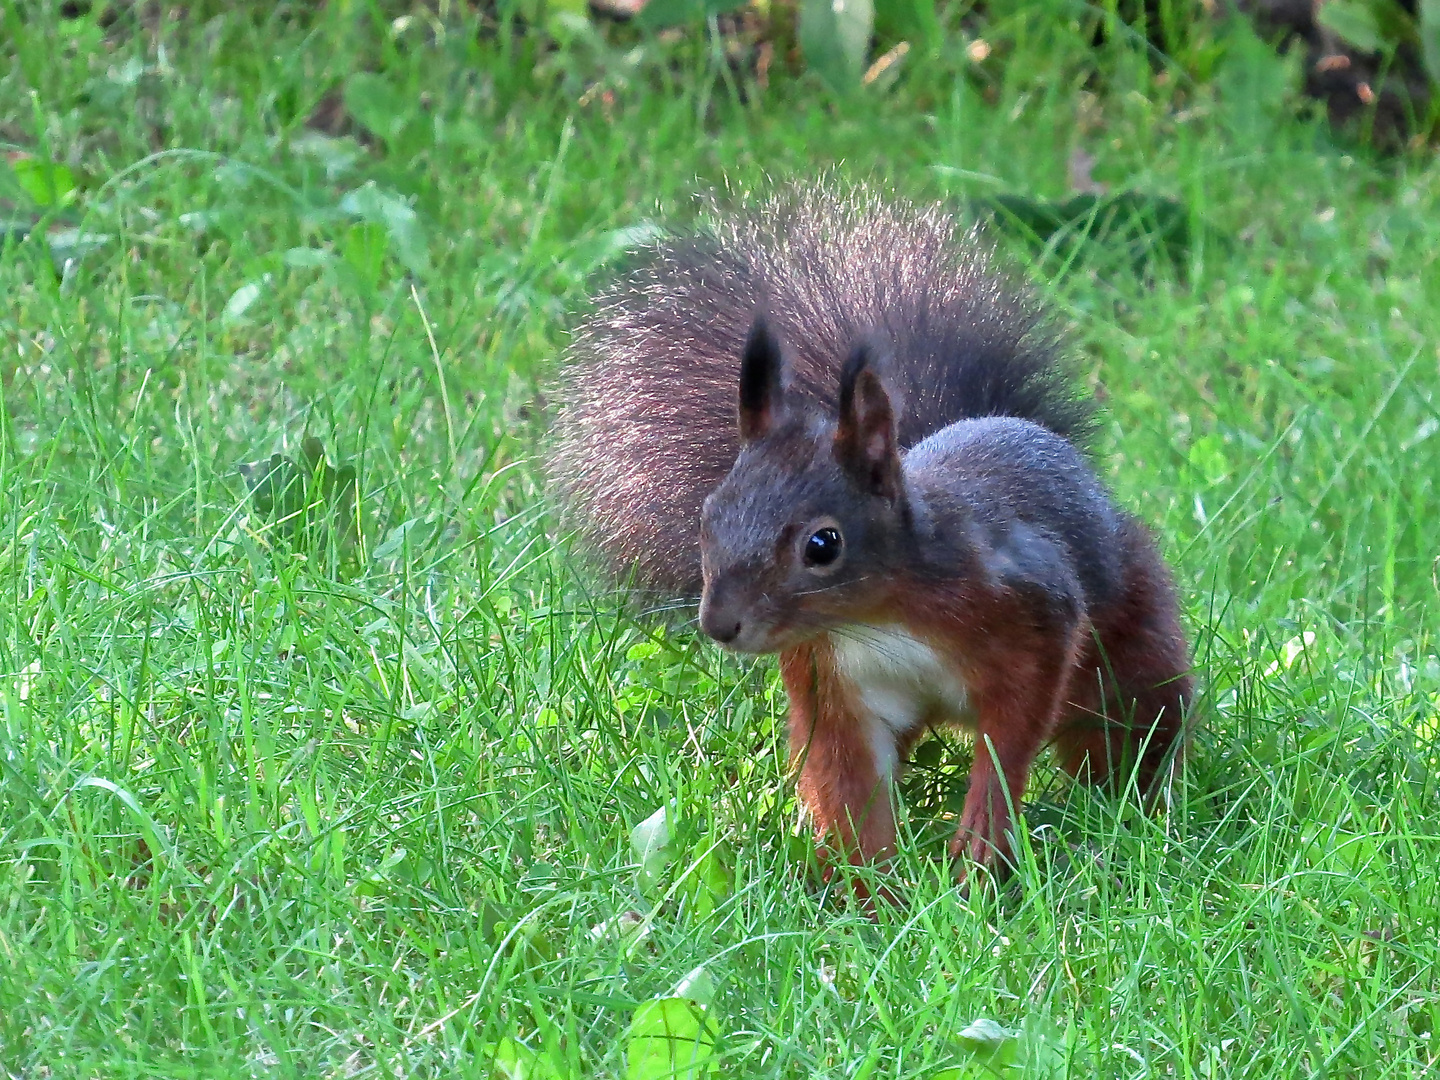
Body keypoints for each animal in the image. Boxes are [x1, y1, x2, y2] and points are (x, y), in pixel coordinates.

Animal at [550, 182, 1192, 881]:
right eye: (707, 517)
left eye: (822, 545)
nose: (719, 625)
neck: (878, 615)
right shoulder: (833, 679)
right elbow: (850, 778)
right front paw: (872, 888)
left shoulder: (1032, 615)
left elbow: (1009, 741)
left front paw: (976, 854)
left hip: (1126, 651)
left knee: (1127, 722)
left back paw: (1138, 807)